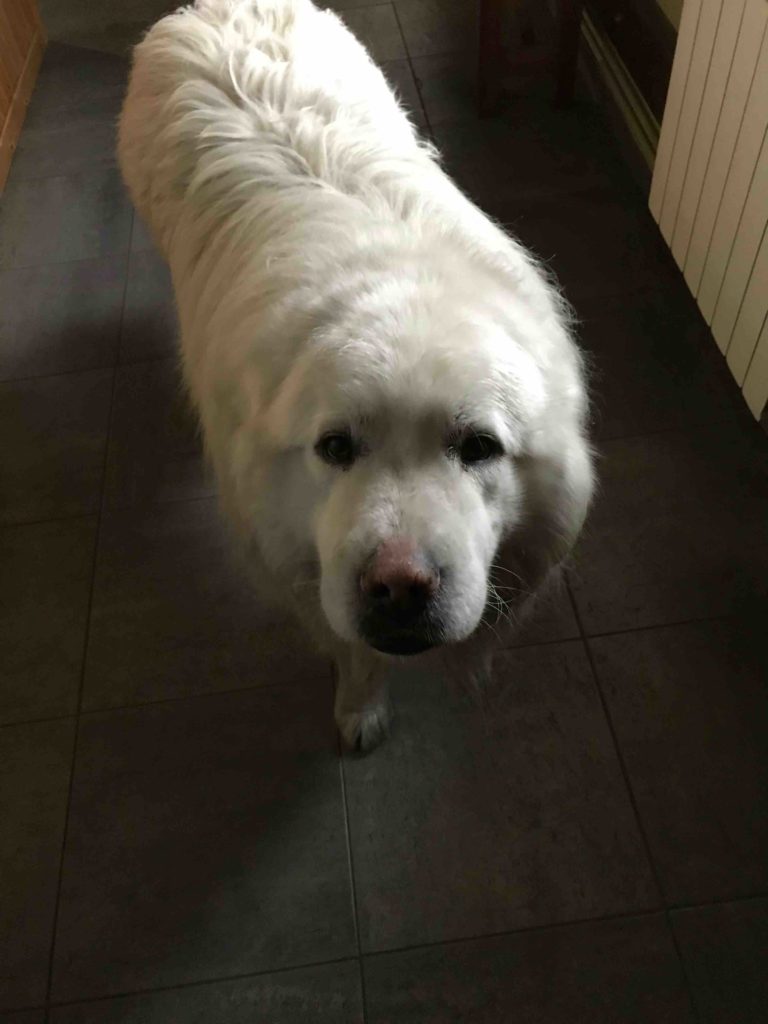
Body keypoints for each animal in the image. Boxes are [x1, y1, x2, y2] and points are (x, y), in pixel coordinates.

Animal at [118, 0, 593, 753]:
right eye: (335, 448)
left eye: (479, 447)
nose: (399, 585)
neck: (399, 285)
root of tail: (219, 7)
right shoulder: (294, 562)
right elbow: (353, 650)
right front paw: (361, 708)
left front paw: (470, 670)